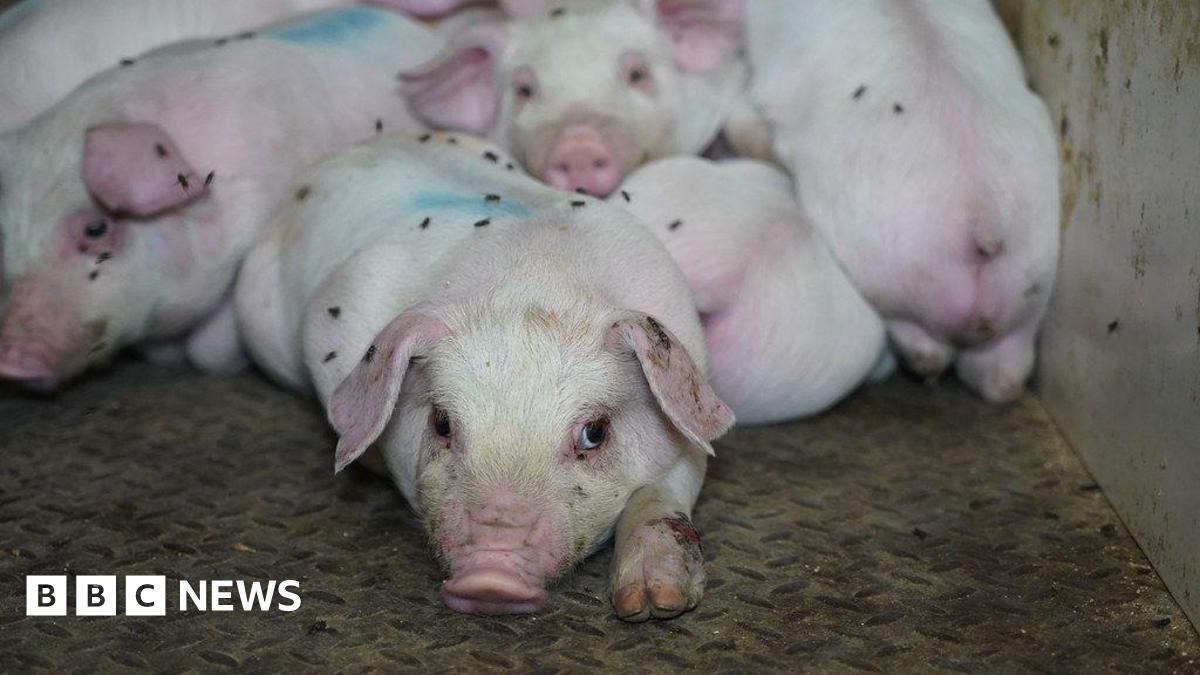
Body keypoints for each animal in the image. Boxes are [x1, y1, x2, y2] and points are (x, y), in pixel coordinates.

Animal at [234, 132, 734, 619]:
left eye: (594, 433)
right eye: (442, 424)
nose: (492, 580)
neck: (534, 286)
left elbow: (662, 493)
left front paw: (655, 603)